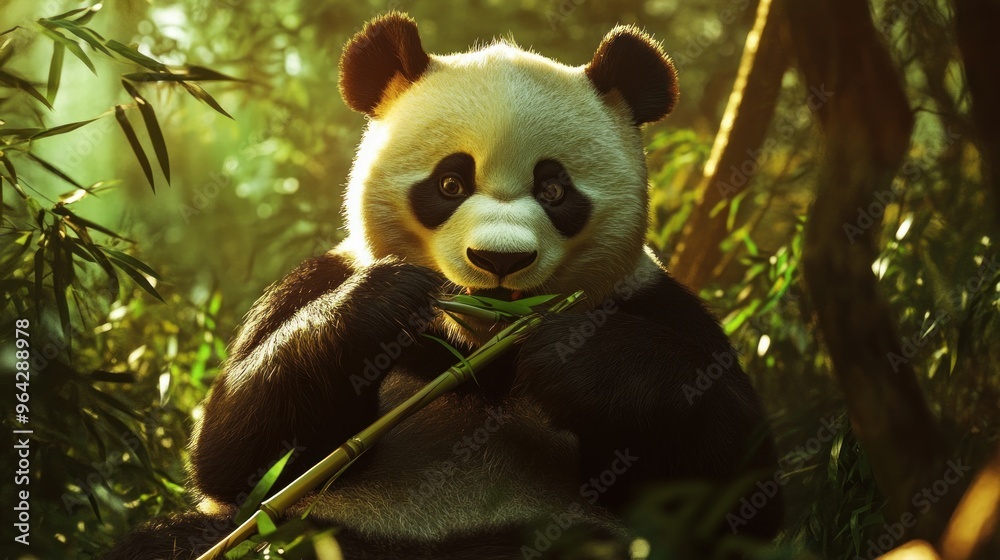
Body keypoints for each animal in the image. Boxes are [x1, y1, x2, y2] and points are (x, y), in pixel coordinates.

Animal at [106, 12, 782, 560]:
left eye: (554, 190)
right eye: (451, 183)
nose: (499, 260)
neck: (482, 352)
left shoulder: (656, 303)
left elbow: (739, 487)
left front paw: (574, 356)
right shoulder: (319, 279)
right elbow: (234, 454)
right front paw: (384, 304)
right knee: (175, 539)